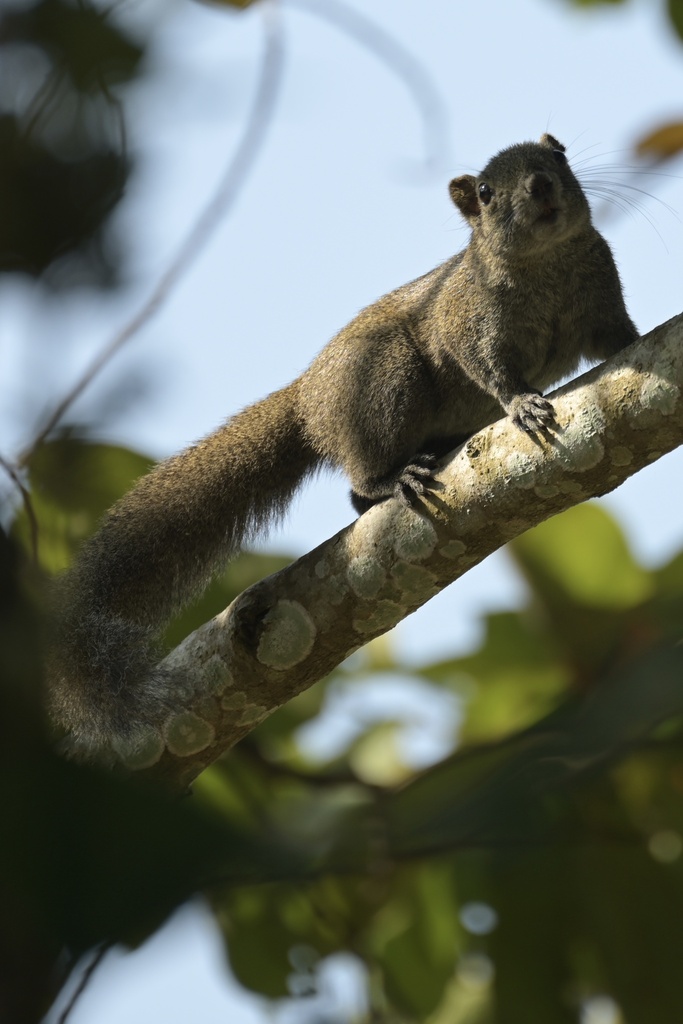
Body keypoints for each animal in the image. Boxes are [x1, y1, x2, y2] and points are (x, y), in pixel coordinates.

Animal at [50, 133, 638, 751]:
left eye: (557, 157)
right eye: (484, 191)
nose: (540, 185)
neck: (545, 262)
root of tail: (307, 404)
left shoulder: (601, 298)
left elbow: (619, 337)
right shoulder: (468, 318)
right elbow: (490, 368)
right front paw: (522, 403)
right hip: (384, 381)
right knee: (361, 486)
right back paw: (395, 480)